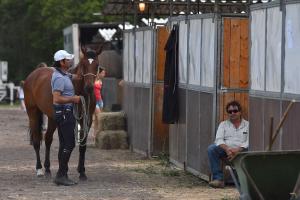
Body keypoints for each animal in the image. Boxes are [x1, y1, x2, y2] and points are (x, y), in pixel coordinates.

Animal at [23, 48, 101, 180]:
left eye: (97, 65)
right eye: (84, 64)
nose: (89, 87)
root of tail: (34, 74)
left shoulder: (87, 120)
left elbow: (82, 145)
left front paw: (82, 172)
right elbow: (65, 144)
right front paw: (65, 170)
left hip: (52, 118)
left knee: (48, 139)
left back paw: (48, 168)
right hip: (33, 113)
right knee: (37, 141)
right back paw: (39, 169)